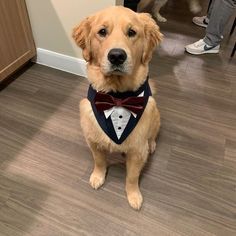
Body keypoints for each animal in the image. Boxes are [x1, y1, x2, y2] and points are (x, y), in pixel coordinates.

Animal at [73, 5, 162, 209]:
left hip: (155, 115)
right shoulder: (93, 141)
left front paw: (133, 195)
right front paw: (98, 176)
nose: (116, 56)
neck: (117, 96)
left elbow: (132, 177)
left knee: (153, 136)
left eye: (132, 32)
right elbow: (99, 162)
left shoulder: (138, 150)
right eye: (102, 32)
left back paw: (152, 145)